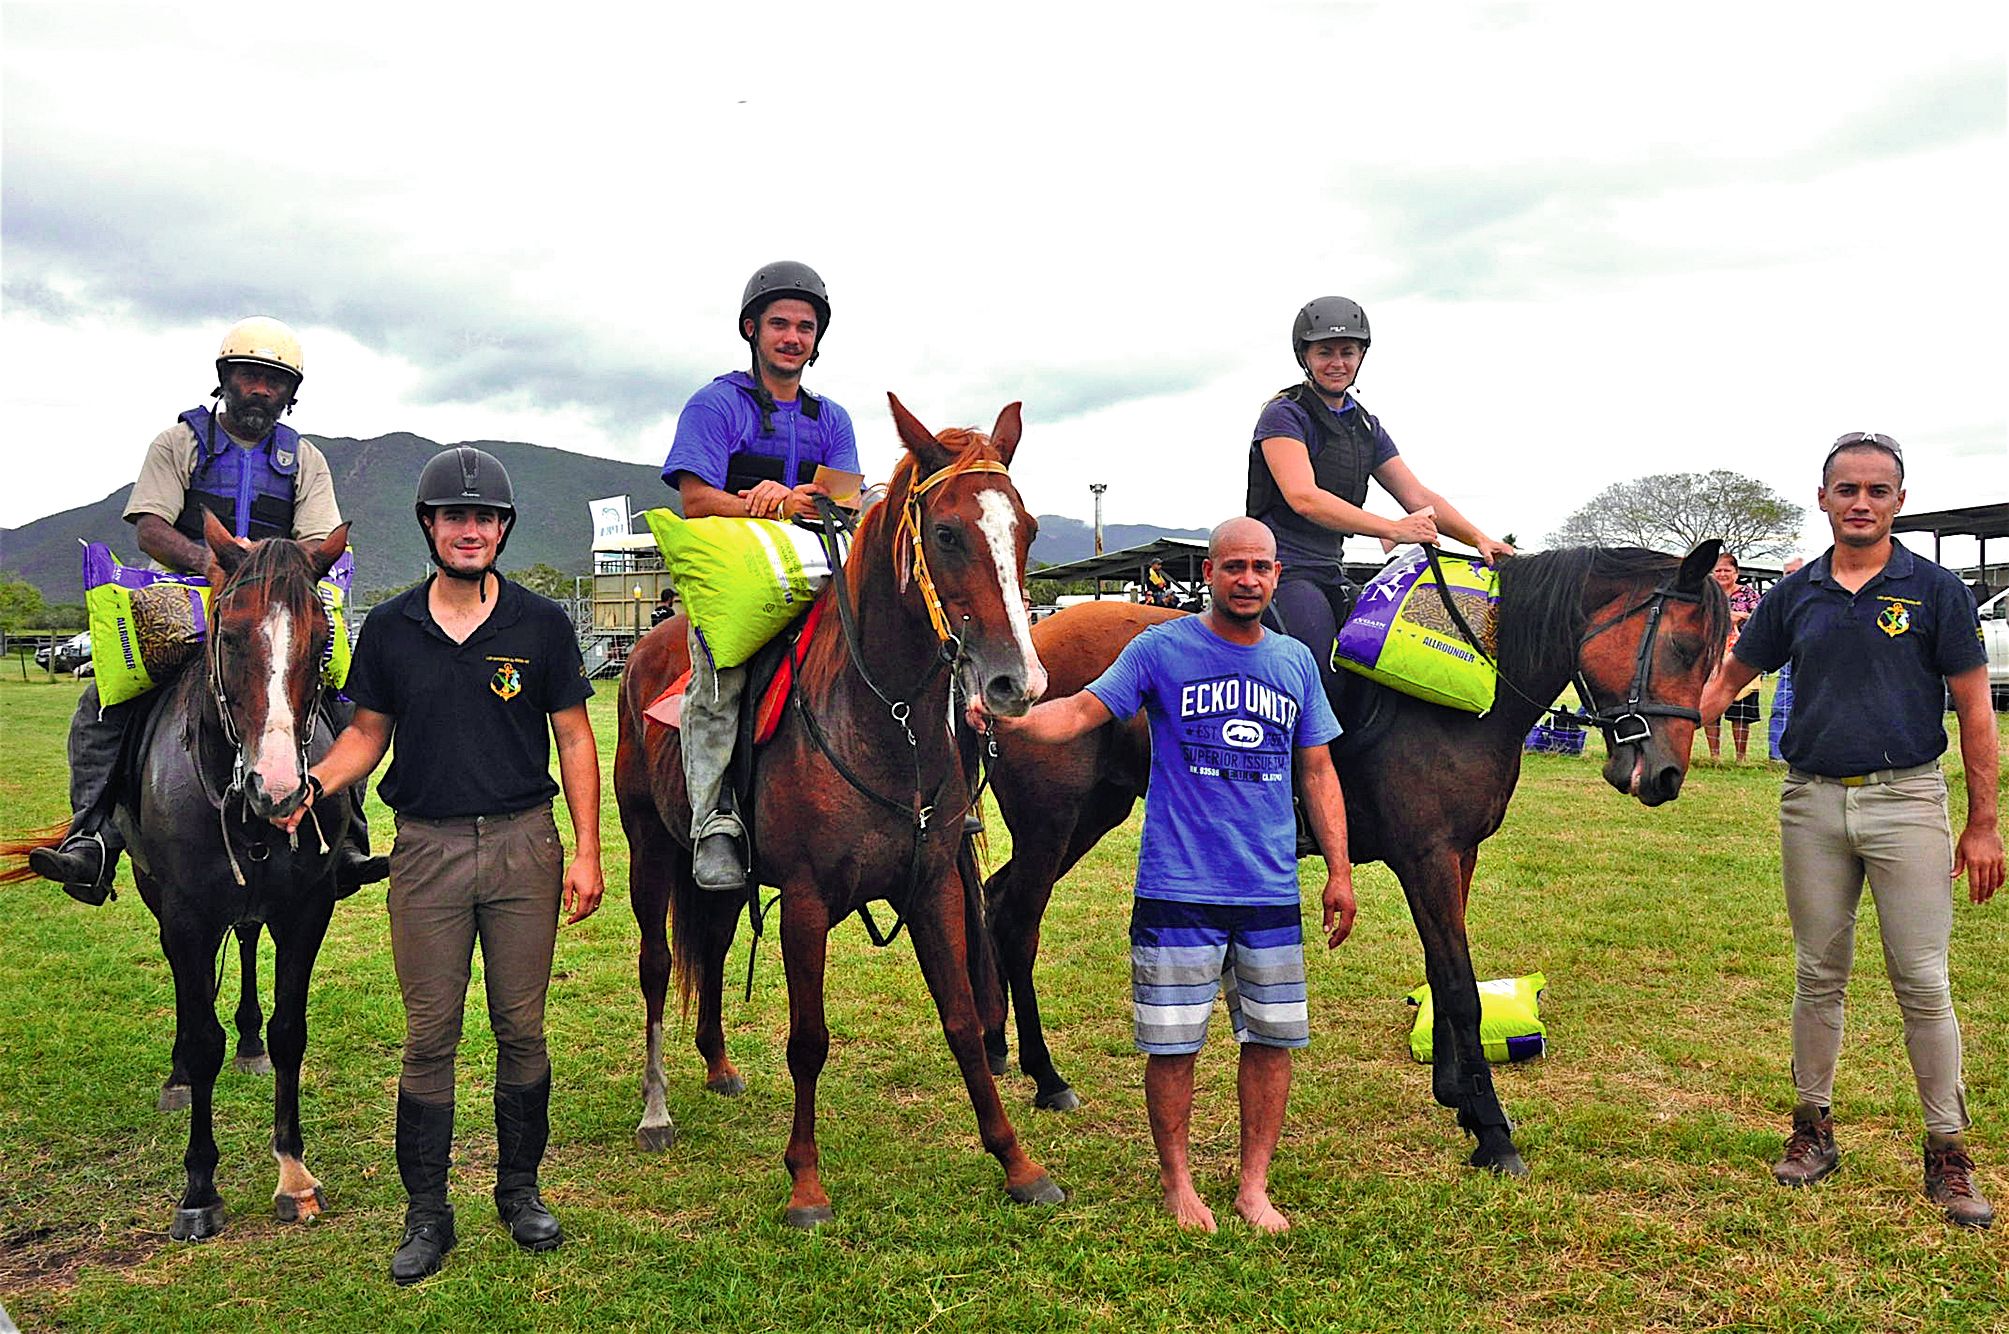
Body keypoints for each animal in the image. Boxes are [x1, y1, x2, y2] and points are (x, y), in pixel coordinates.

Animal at [618, 391, 1068, 1221]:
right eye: (947, 533)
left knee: (714, 946)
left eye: (1024, 530)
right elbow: (808, 1040)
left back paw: (717, 1064)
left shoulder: (933, 887)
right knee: (658, 965)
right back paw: (656, 1109)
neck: (885, 720)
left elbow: (962, 1020)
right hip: (647, 847)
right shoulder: (803, 900)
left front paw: (1017, 1163)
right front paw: (804, 1181)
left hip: (717, 878)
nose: (1015, 683)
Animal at [984, 538, 1727, 1173]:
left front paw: (1455, 1092)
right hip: (1052, 825)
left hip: (1089, 817)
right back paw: (1045, 1077)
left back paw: (994, 1047)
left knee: (994, 902)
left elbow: (1441, 972)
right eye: (1685, 644)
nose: (1665, 776)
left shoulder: (1456, 857)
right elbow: (1460, 987)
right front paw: (1492, 1132)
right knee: (1017, 924)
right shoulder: (1427, 857)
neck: (1476, 690)